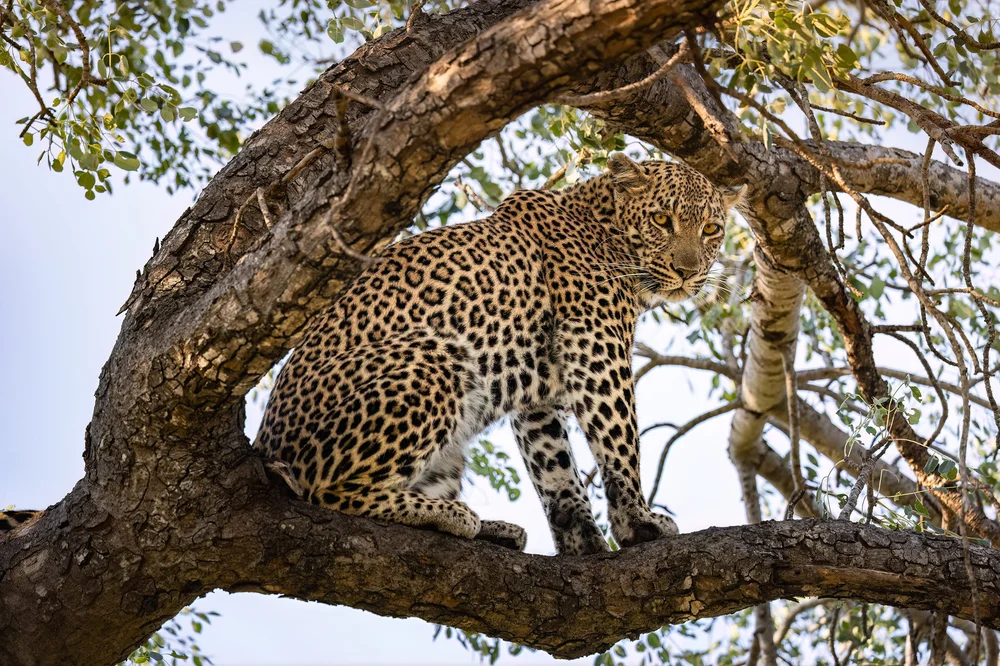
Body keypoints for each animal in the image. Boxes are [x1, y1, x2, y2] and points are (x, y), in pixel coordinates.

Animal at [1, 154, 742, 554]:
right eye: (663, 221)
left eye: (711, 229)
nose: (689, 272)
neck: (609, 231)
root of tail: (267, 445)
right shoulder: (595, 349)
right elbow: (619, 441)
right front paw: (639, 522)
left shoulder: (540, 390)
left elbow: (555, 468)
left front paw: (583, 542)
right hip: (435, 362)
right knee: (334, 492)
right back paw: (456, 517)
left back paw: (484, 526)